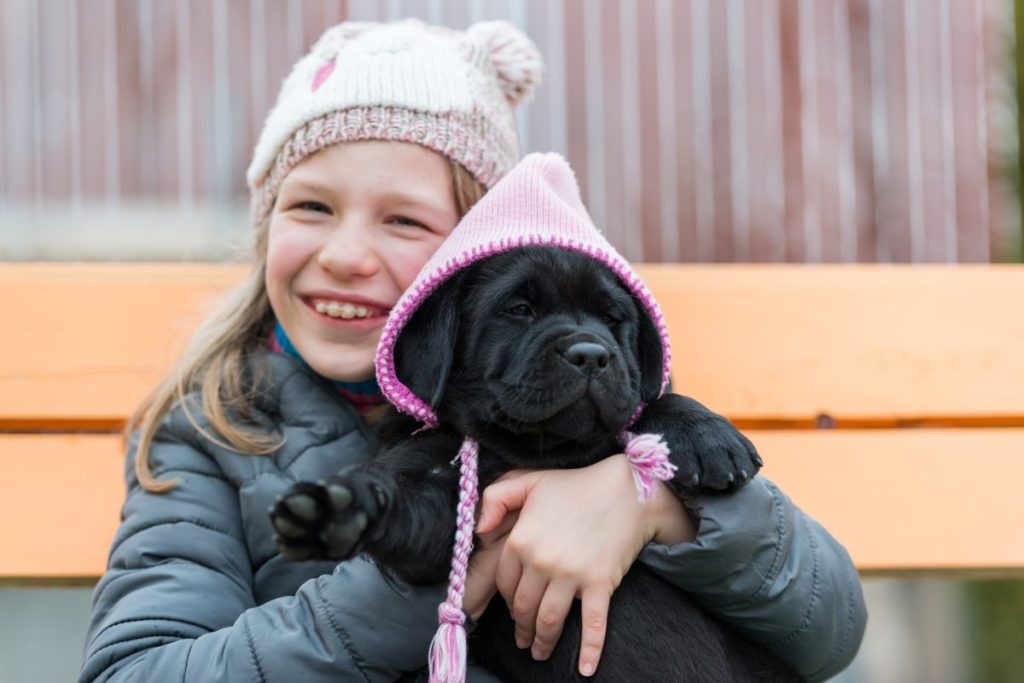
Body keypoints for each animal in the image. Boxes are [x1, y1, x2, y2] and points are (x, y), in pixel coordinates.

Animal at [276, 248, 802, 683]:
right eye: (518, 310)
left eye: (613, 318)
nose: (591, 354)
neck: (535, 451)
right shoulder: (438, 495)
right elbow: (403, 500)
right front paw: (336, 508)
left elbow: (646, 399)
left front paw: (704, 434)